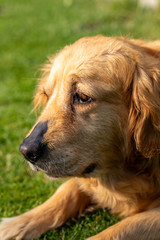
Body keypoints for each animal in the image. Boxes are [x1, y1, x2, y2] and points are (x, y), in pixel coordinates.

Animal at [0, 35, 160, 240]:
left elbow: (125, 226)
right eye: (47, 94)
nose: (26, 151)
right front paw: (16, 224)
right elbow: (67, 189)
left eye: (83, 97)